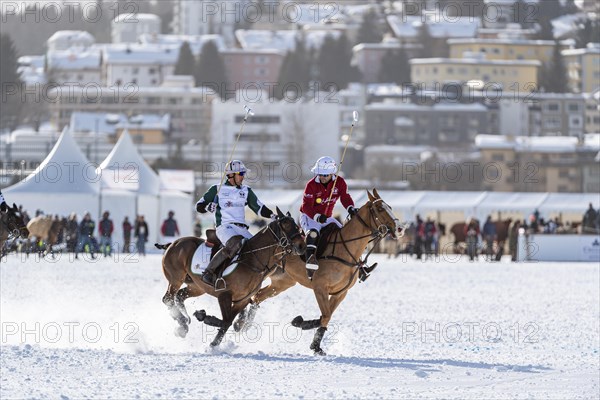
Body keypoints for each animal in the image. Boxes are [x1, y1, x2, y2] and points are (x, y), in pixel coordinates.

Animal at [158, 209, 304, 346]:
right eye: (286, 224)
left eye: (296, 225)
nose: (301, 246)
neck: (252, 260)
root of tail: (173, 243)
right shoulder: (224, 295)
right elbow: (226, 321)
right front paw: (211, 336)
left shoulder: (242, 300)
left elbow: (228, 321)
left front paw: (214, 338)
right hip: (176, 278)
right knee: (168, 298)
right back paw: (183, 322)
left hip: (197, 286)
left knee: (180, 295)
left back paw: (183, 324)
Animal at [234, 189, 398, 354]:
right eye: (380, 208)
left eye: (390, 206)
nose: (398, 228)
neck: (345, 250)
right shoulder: (320, 287)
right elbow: (325, 315)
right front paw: (300, 323)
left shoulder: (341, 293)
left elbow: (326, 316)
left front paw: (315, 345)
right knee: (249, 293)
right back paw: (239, 321)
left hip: (283, 282)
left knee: (257, 297)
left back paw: (243, 324)